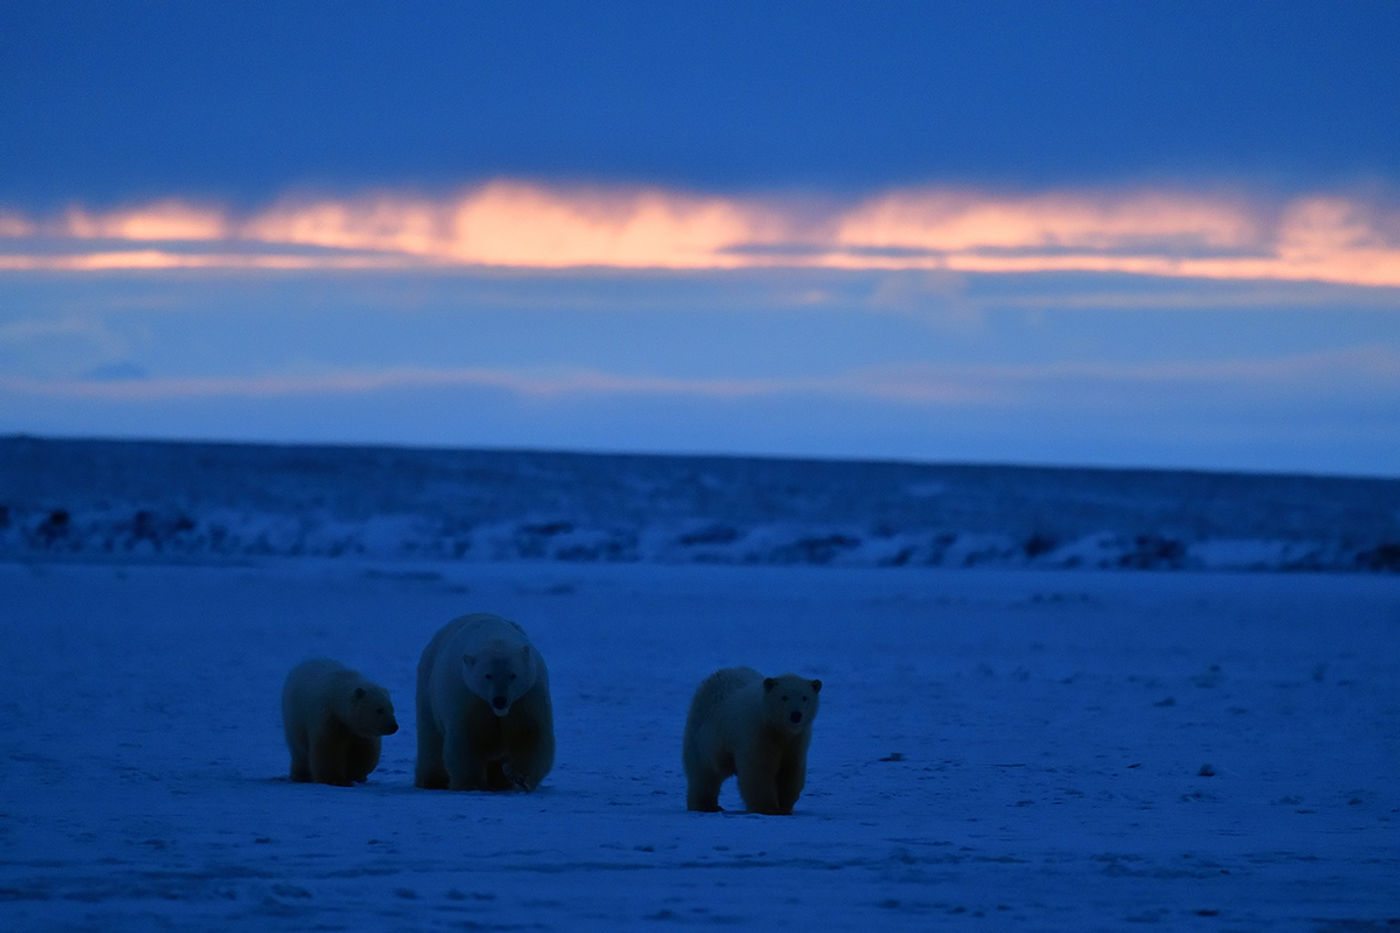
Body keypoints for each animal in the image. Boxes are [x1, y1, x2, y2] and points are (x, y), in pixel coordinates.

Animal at [280, 652, 400, 784]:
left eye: (392, 708)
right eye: (379, 710)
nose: (393, 726)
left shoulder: (358, 731)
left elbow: (364, 751)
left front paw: (355, 774)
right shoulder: (329, 718)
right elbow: (328, 749)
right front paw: (333, 779)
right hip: (294, 718)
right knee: (299, 750)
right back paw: (300, 776)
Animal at [411, 613, 554, 790]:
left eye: (513, 675)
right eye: (488, 675)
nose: (500, 700)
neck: (494, 636)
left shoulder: (527, 697)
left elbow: (529, 734)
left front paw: (519, 778)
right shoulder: (470, 698)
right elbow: (468, 740)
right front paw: (471, 784)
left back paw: (501, 782)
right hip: (428, 694)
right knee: (431, 740)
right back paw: (432, 781)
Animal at [680, 664, 817, 812]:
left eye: (805, 697)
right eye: (784, 697)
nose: (796, 715)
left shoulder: (796, 741)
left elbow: (790, 770)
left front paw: (785, 806)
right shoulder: (758, 733)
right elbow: (758, 770)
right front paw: (768, 807)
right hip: (703, 734)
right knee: (703, 773)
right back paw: (705, 805)